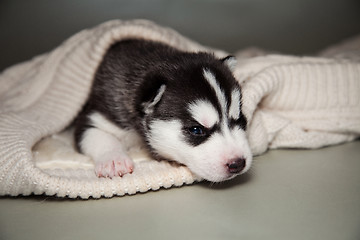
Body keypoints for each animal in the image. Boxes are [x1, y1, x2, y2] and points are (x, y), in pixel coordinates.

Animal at [74, 39, 252, 182]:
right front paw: (113, 160)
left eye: (240, 119)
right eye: (196, 130)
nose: (238, 163)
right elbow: (100, 136)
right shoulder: (96, 115)